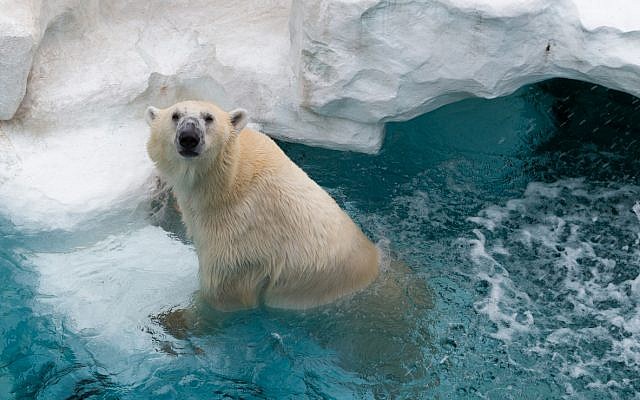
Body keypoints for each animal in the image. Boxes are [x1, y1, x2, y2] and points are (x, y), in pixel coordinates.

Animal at [145, 100, 380, 311]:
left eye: (208, 117)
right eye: (175, 115)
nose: (189, 138)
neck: (229, 182)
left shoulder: (239, 241)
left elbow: (220, 295)